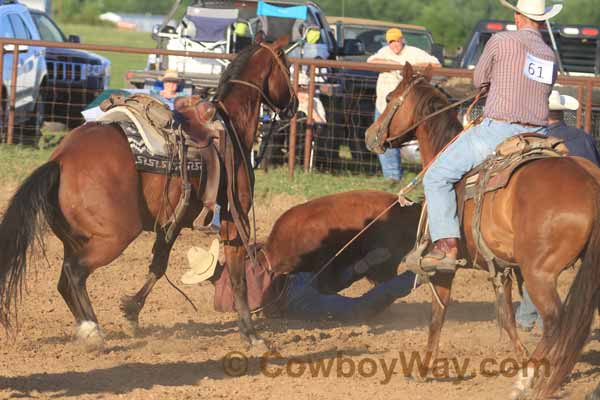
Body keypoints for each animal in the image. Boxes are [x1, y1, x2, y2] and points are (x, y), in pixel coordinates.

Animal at [0, 36, 298, 350]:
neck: (231, 126)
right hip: (115, 237)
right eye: (287, 65)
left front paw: (131, 312)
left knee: (64, 280)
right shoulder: (234, 219)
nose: (294, 104)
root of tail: (61, 160)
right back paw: (93, 331)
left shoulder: (172, 222)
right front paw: (252, 335)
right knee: (74, 273)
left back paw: (87, 328)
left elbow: (158, 265)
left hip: (77, 238)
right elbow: (238, 278)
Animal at [364, 61, 600, 396]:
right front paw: (520, 358)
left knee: (556, 322)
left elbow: (437, 315)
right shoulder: (500, 267)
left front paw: (422, 369)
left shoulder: (444, 268)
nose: (370, 135)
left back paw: (526, 381)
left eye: (389, 99)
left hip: (539, 274)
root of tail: (590, 183)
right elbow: (508, 318)